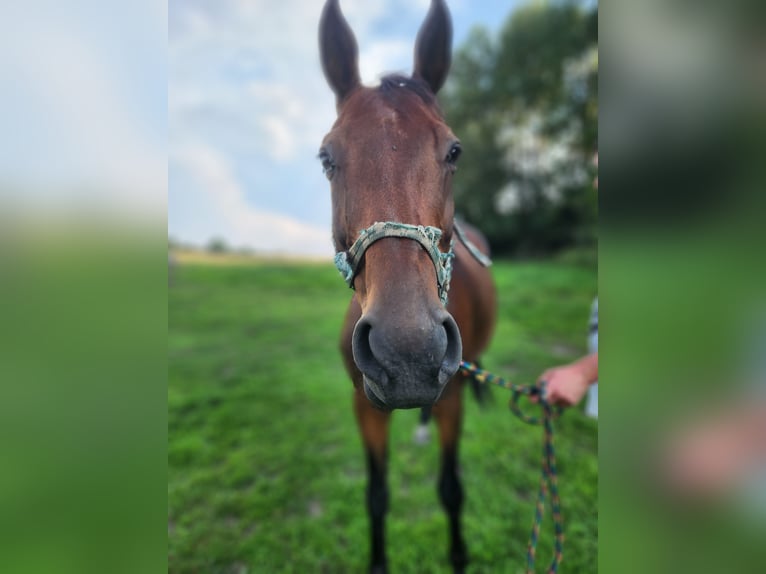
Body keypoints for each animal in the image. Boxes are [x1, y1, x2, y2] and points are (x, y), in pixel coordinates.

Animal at [318, 1, 497, 572]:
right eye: (327, 157)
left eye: (455, 151)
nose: (408, 351)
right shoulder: (363, 406)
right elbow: (376, 495)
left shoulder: (453, 398)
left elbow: (452, 489)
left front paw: (459, 555)